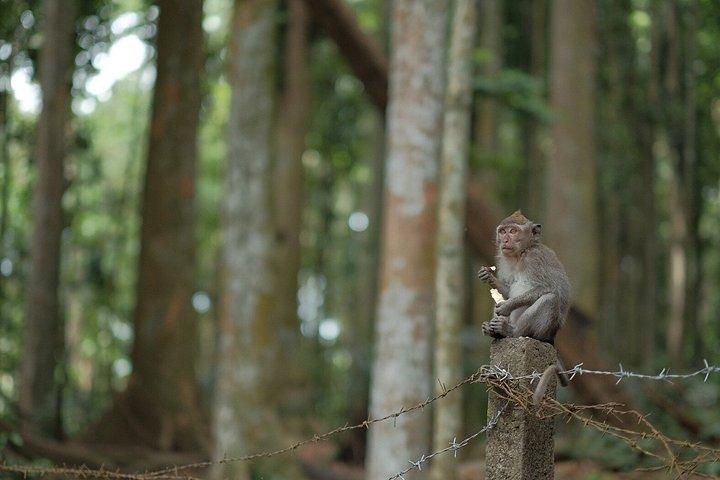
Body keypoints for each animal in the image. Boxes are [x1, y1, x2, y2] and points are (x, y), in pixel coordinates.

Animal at [477, 210, 571, 403]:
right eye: (503, 231)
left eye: (513, 231)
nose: (505, 240)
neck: (520, 255)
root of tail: (552, 338)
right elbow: (506, 291)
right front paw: (488, 276)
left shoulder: (535, 259)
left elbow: (547, 288)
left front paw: (507, 306)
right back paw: (493, 330)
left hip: (543, 332)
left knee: (550, 299)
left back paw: (509, 331)